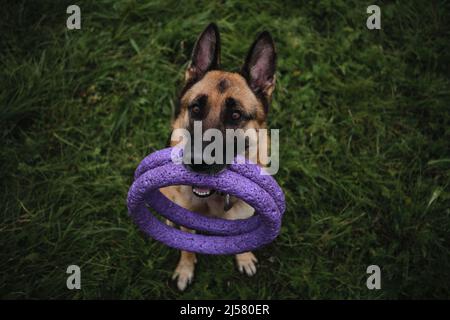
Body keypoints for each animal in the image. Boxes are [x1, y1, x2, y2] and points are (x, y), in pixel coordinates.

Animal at [160, 22, 276, 292]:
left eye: (235, 115)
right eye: (195, 108)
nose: (198, 163)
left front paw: (244, 258)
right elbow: (186, 246)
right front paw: (185, 269)